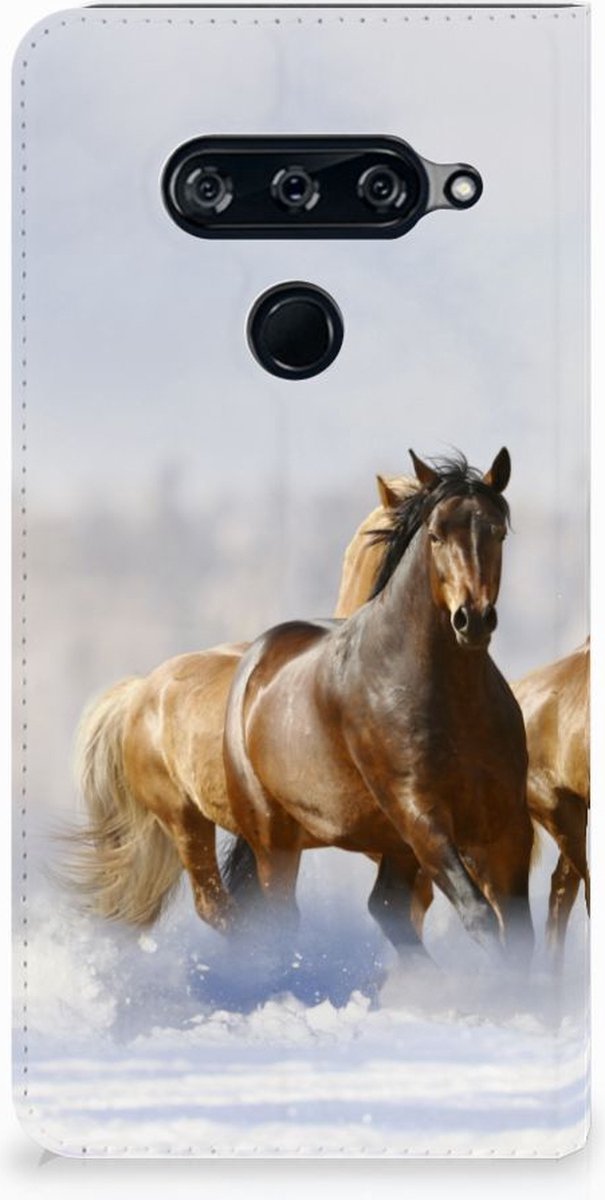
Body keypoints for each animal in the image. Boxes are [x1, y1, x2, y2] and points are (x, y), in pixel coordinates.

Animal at [222, 449, 534, 960]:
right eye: (435, 534)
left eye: (497, 532)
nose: (472, 619)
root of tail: (256, 659)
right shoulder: (420, 815)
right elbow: (480, 916)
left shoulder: (507, 824)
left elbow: (520, 931)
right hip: (275, 837)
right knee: (282, 918)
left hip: (392, 845)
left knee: (387, 906)